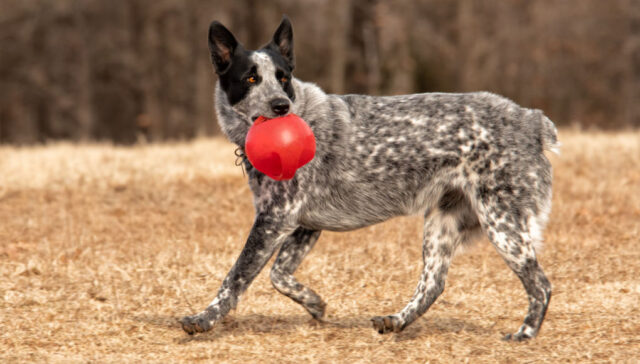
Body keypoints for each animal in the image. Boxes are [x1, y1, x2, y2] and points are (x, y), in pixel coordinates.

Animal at [179, 14, 556, 342]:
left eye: (283, 77)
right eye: (250, 78)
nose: (281, 105)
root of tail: (531, 119)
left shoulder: (276, 219)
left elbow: (236, 276)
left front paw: (204, 319)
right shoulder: (301, 224)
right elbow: (278, 275)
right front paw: (315, 304)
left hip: (502, 224)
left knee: (541, 284)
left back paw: (525, 334)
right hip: (443, 223)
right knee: (433, 284)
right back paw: (396, 321)